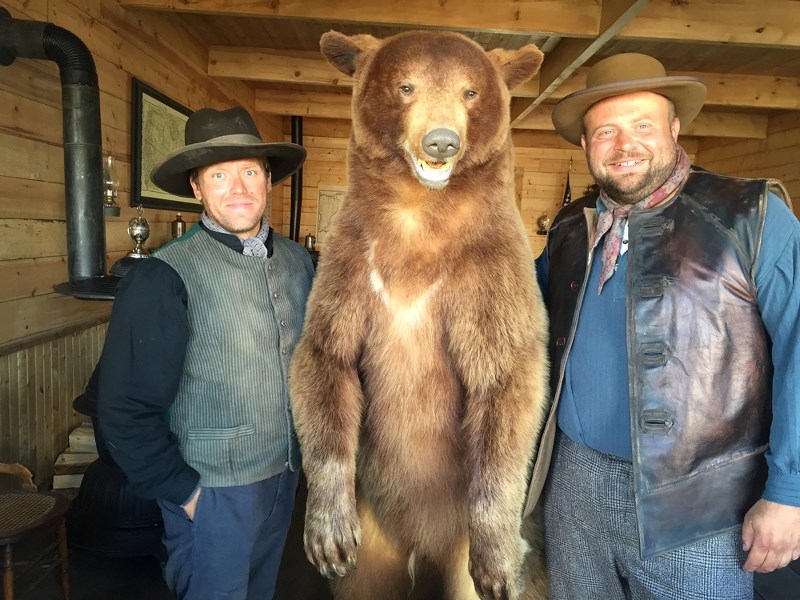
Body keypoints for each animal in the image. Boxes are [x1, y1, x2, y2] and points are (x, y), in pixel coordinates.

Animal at [290, 29, 552, 600]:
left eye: (470, 91)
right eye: (405, 86)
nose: (441, 141)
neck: (419, 213)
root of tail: (418, 544)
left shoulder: (490, 268)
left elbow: (506, 378)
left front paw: (499, 562)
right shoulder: (354, 258)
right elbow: (325, 355)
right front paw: (327, 536)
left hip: (456, 543)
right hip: (375, 534)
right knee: (366, 581)